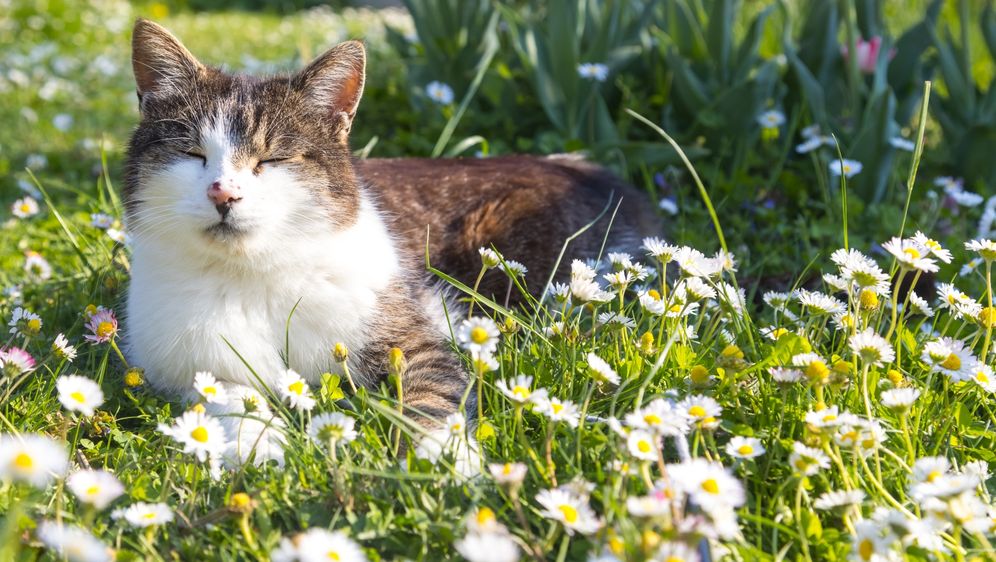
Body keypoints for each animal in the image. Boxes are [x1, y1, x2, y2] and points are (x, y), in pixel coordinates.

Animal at [120, 17, 656, 470]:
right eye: (192, 154)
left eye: (272, 160)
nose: (223, 193)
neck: (253, 273)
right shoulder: (191, 365)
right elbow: (230, 398)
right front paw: (258, 445)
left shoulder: (413, 339)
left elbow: (431, 398)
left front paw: (443, 462)